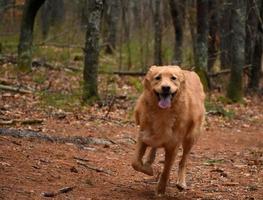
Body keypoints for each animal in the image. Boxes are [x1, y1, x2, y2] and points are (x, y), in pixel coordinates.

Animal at [132, 65, 206, 195]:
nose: (166, 88)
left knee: (183, 161)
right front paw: (148, 169)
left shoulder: (173, 145)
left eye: (173, 78)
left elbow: (166, 170)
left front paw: (161, 189)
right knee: (154, 147)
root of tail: (190, 71)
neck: (162, 113)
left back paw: (181, 182)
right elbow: (135, 162)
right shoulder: (143, 135)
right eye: (158, 78)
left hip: (191, 137)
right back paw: (149, 161)